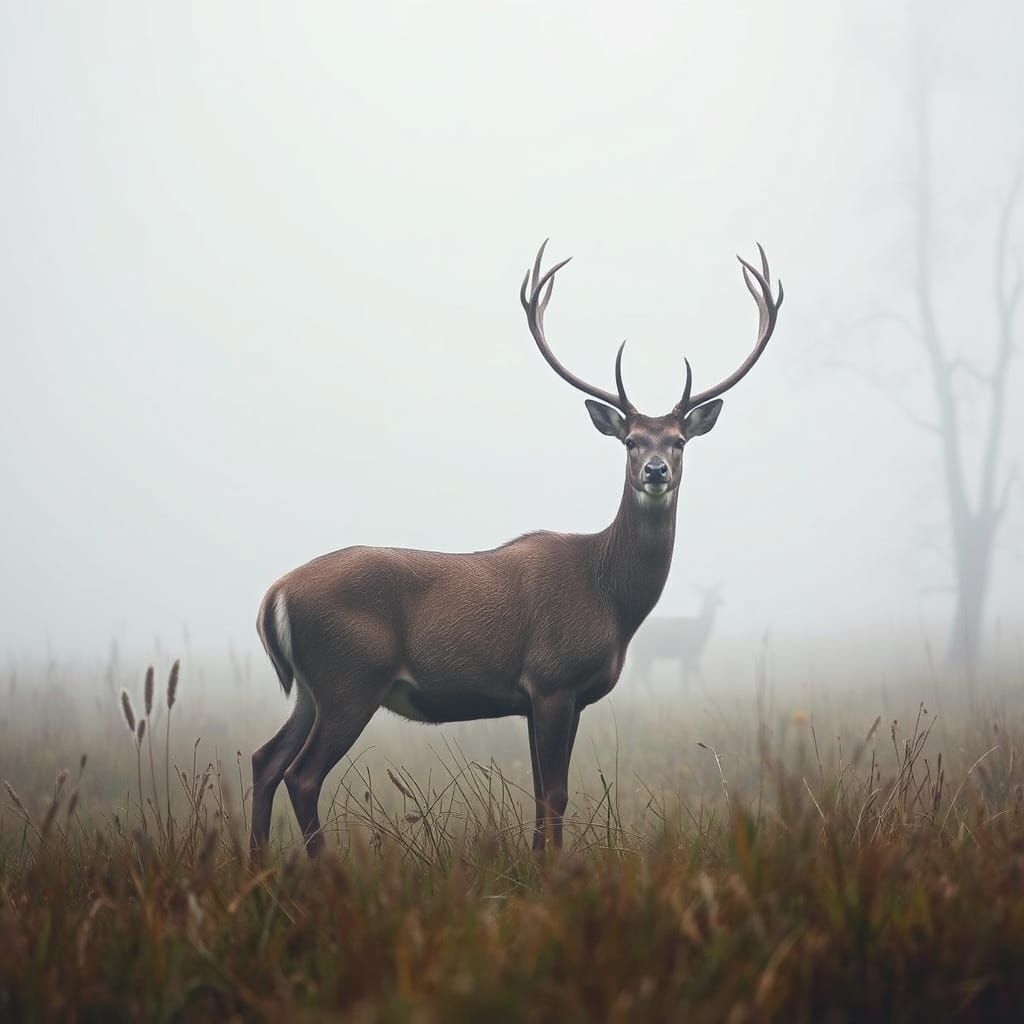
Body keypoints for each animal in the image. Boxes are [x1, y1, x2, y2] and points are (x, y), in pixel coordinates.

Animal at [250, 241, 782, 857]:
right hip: (350, 678)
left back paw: (258, 863)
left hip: (311, 691)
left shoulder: (539, 697)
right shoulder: (554, 678)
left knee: (265, 761)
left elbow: (541, 792)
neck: (611, 598)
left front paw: (537, 860)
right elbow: (554, 792)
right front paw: (551, 867)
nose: (655, 471)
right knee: (301, 774)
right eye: (630, 441)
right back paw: (320, 866)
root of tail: (274, 596)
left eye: (678, 441)